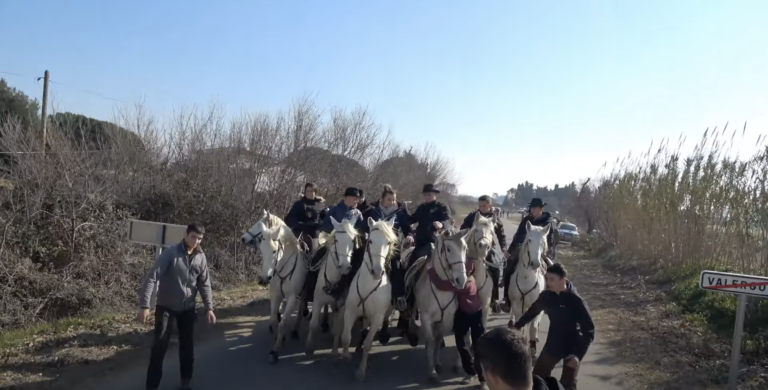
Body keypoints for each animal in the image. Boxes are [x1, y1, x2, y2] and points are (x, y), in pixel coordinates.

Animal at [243, 212, 308, 364]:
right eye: (262, 250)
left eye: (274, 251)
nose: (265, 278)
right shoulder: (275, 295)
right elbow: (274, 320)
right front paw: (278, 338)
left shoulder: (292, 298)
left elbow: (283, 323)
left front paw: (275, 350)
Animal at [304, 216, 356, 360]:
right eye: (336, 239)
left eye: (353, 240)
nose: (345, 267)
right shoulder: (317, 301)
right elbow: (313, 324)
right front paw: (309, 347)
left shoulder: (342, 305)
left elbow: (339, 328)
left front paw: (334, 350)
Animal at [344, 218, 402, 382]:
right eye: (370, 241)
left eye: (389, 242)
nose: (377, 272)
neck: (368, 284)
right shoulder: (350, 312)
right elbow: (346, 337)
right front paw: (345, 356)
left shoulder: (377, 318)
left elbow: (368, 344)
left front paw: (361, 371)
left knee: (386, 319)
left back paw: (383, 335)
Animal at [408, 229, 468, 384]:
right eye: (449, 249)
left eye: (465, 248)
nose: (461, 280)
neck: (440, 287)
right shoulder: (426, 318)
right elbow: (431, 341)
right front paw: (432, 372)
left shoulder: (447, 319)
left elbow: (439, 338)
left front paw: (437, 362)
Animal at [508, 221, 548, 358]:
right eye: (529, 240)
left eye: (543, 242)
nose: (535, 264)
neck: (527, 278)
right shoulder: (516, 304)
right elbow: (520, 324)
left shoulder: (537, 307)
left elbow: (533, 328)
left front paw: (533, 350)